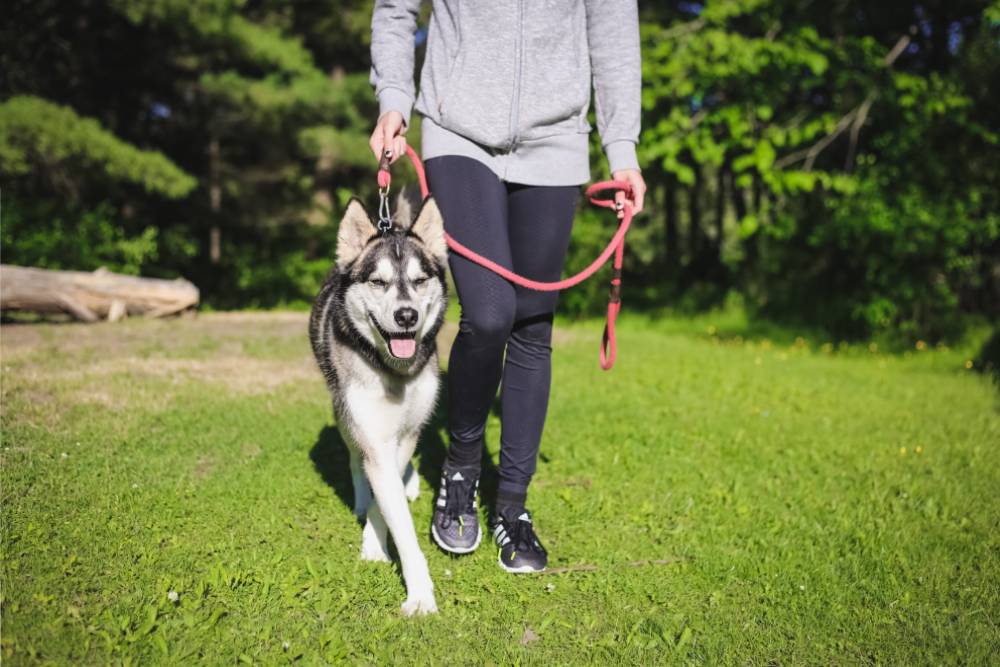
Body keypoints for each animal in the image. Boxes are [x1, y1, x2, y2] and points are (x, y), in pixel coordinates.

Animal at [304, 194, 446, 616]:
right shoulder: (372, 437)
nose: (406, 315)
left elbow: (393, 495)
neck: (395, 372)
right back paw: (361, 500)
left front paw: (375, 536)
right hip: (344, 414)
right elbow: (395, 515)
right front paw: (419, 595)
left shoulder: (407, 431)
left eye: (419, 280)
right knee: (354, 460)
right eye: (378, 282)